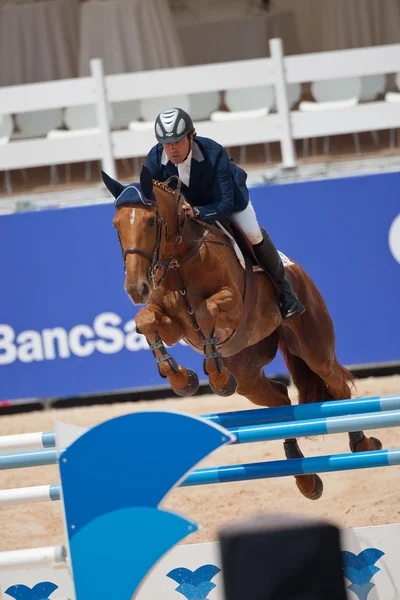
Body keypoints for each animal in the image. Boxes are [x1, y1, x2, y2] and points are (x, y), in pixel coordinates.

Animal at [103, 168, 382, 502]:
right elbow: (145, 321)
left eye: (150, 221)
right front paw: (182, 379)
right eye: (116, 225)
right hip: (248, 374)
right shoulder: (173, 326)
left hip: (314, 349)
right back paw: (306, 479)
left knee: (336, 383)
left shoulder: (232, 305)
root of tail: (298, 270)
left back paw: (362, 443)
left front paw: (214, 376)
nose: (136, 289)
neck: (181, 258)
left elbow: (207, 311)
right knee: (280, 400)